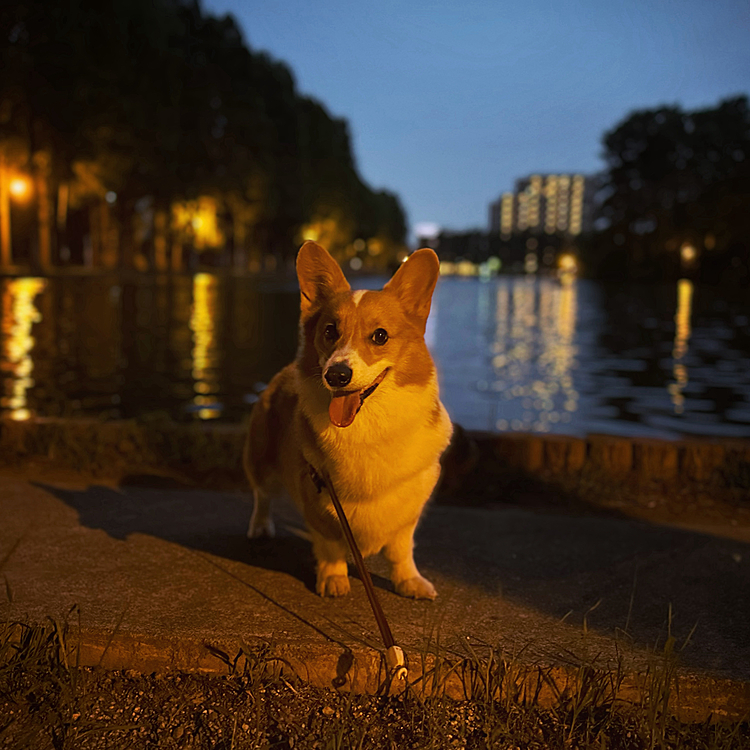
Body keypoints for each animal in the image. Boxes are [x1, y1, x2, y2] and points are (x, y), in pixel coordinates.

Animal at [245, 241, 452, 600]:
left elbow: (401, 550)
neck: (366, 425)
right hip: (261, 459)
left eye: (380, 336)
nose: (336, 375)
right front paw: (333, 578)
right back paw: (259, 527)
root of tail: (285, 370)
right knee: (262, 495)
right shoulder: (318, 501)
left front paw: (409, 581)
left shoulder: (408, 512)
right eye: (330, 331)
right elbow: (329, 546)